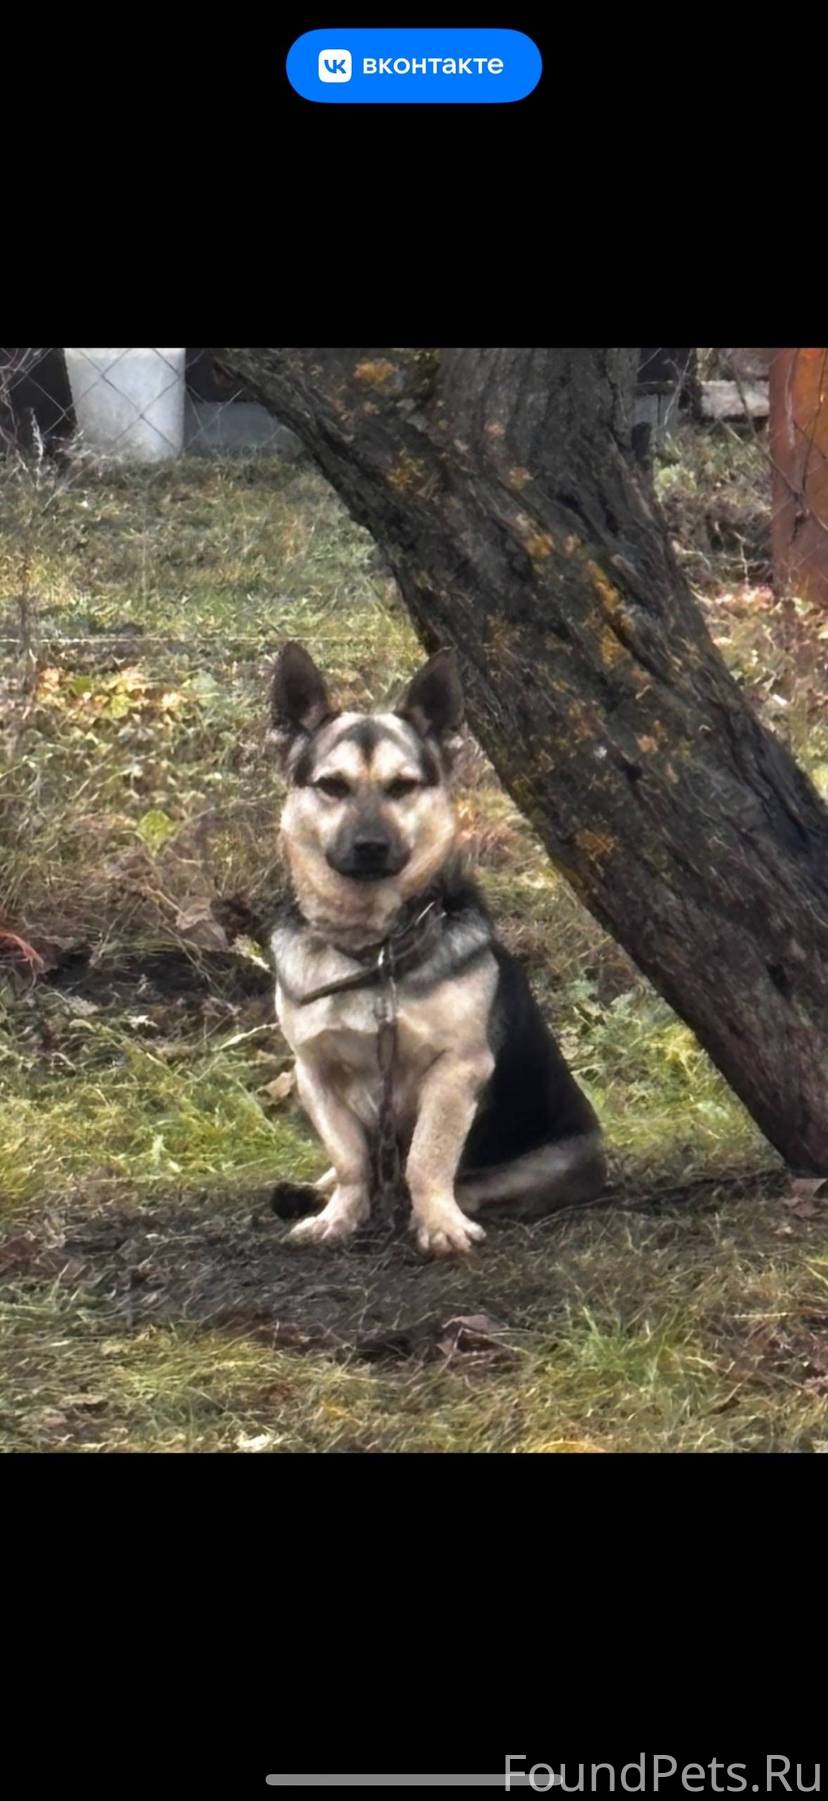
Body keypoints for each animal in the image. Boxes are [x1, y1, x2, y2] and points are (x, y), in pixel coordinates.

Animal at [269, 641, 606, 1258]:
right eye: (332, 786)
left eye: (403, 787)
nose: (370, 846)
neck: (374, 948)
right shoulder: (315, 1072)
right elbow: (349, 1160)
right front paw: (340, 1214)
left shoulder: (457, 1069)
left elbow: (428, 1157)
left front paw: (438, 1223)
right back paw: (311, 1194)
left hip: (559, 1158)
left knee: (459, 1180)